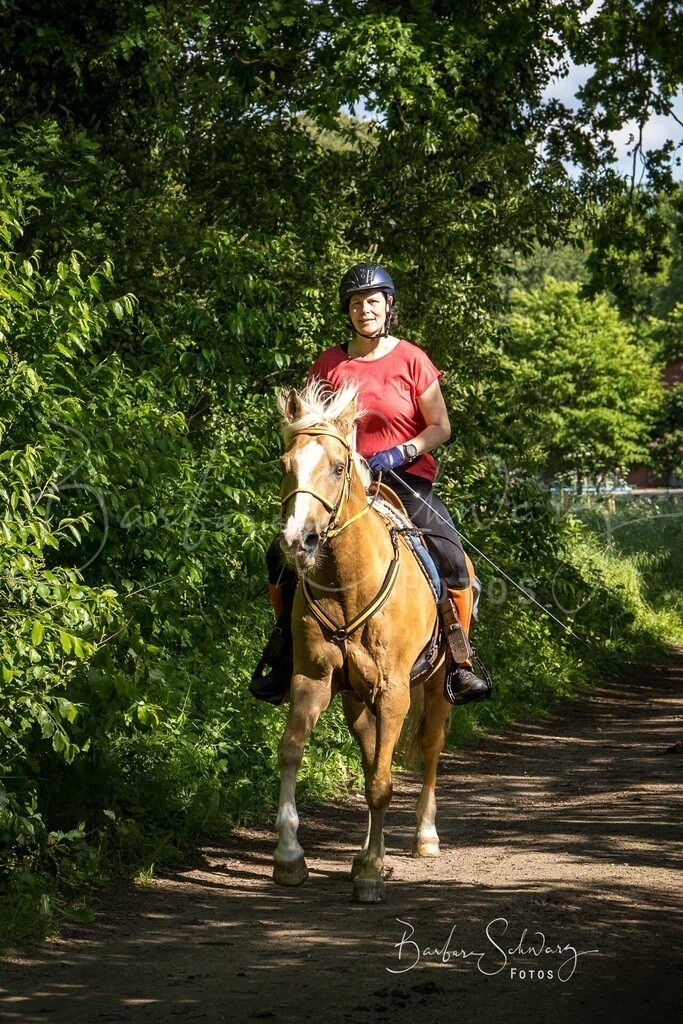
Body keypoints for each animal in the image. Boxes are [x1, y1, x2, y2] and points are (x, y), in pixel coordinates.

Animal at [273, 379, 454, 903]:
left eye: (338, 467)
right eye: (286, 464)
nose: (298, 540)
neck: (348, 583)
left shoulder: (394, 691)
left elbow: (381, 784)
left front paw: (373, 872)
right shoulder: (312, 679)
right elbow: (292, 750)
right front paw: (289, 857)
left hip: (436, 685)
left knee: (428, 748)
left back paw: (423, 837)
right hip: (356, 697)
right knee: (373, 753)